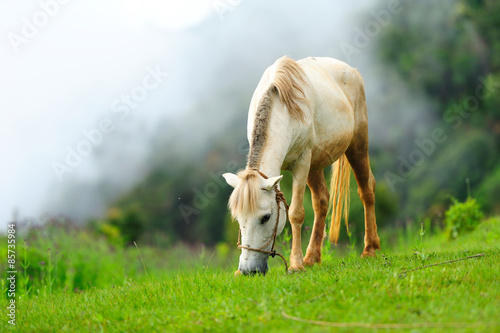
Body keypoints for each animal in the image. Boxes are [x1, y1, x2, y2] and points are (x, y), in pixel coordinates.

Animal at [223, 55, 378, 274]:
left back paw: (370, 249)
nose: (248, 270)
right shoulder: (306, 163)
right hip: (315, 165)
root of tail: (352, 71)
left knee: (366, 190)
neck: (283, 108)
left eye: (266, 217)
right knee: (322, 201)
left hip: (357, 146)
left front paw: (295, 264)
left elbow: (296, 213)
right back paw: (312, 257)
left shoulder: (302, 163)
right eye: (238, 219)